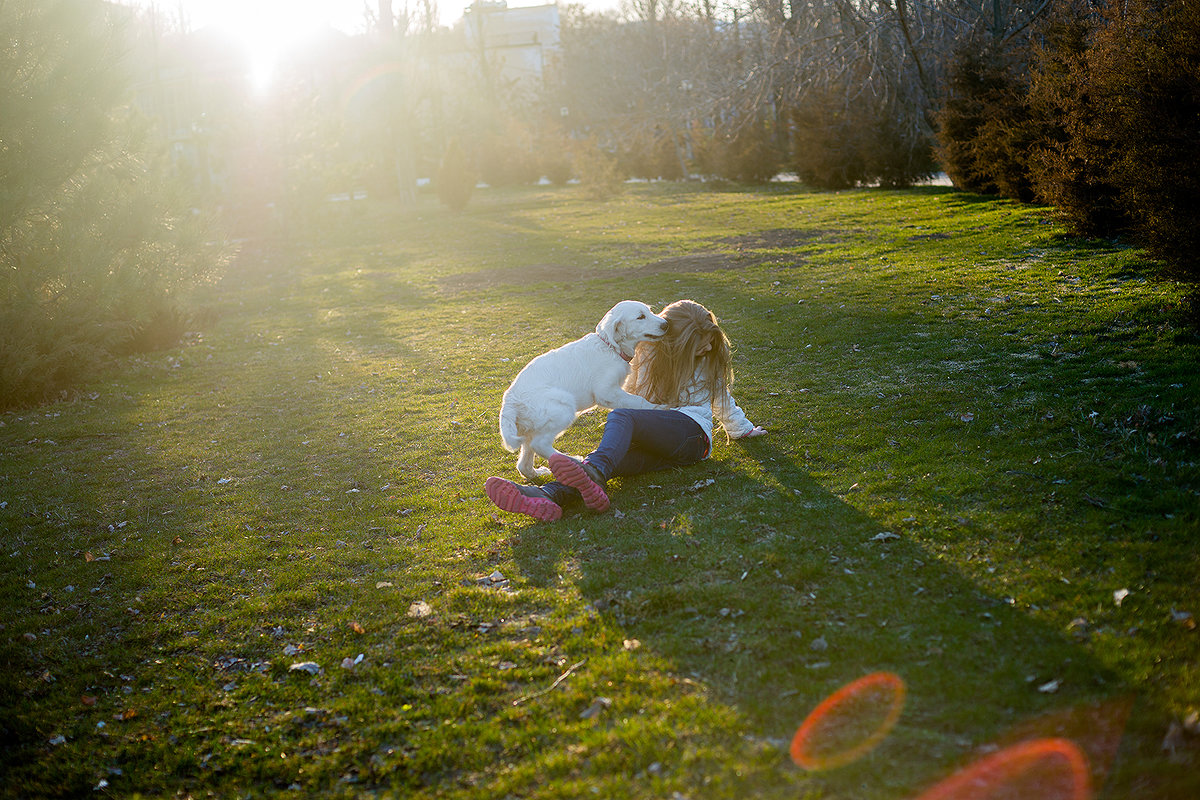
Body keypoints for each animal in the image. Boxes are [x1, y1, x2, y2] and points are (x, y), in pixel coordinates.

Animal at [494, 298, 667, 474]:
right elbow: (639, 400)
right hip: (563, 406)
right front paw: (661, 408)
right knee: (540, 444)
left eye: (649, 311)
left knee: (524, 463)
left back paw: (538, 472)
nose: (666, 324)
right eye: (640, 317)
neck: (610, 348)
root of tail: (510, 402)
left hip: (530, 427)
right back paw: (573, 461)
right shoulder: (607, 392)